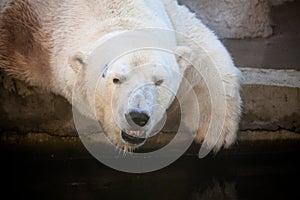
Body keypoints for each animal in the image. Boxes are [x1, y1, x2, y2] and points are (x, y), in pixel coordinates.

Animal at [0, 0, 240, 152]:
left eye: (158, 81)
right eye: (116, 79)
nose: (137, 116)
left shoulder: (170, 16)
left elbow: (201, 47)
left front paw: (214, 133)